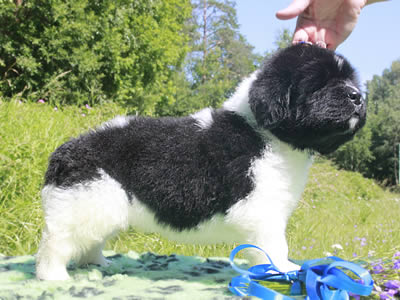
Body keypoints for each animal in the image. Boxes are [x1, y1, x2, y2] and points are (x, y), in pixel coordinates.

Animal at [36, 44, 366, 282]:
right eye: (318, 84)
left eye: (350, 81)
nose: (358, 97)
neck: (263, 132)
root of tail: (64, 152)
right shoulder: (261, 210)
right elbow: (274, 245)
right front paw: (284, 270)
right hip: (84, 201)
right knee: (56, 242)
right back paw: (53, 276)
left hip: (101, 204)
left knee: (88, 239)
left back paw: (97, 263)